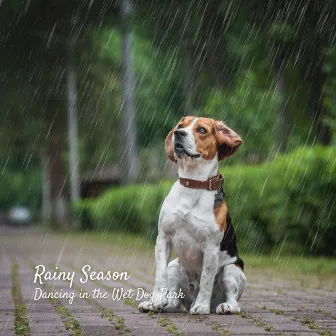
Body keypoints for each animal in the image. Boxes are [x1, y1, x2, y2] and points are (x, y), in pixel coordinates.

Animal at [138, 116, 245, 316]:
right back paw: (159, 305)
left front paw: (201, 306)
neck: (193, 184)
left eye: (202, 130)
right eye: (181, 126)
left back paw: (222, 306)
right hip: (174, 267)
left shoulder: (210, 248)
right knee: (174, 301)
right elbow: (159, 276)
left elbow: (206, 280)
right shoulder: (163, 238)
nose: (178, 133)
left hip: (231, 270)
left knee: (233, 301)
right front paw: (156, 301)